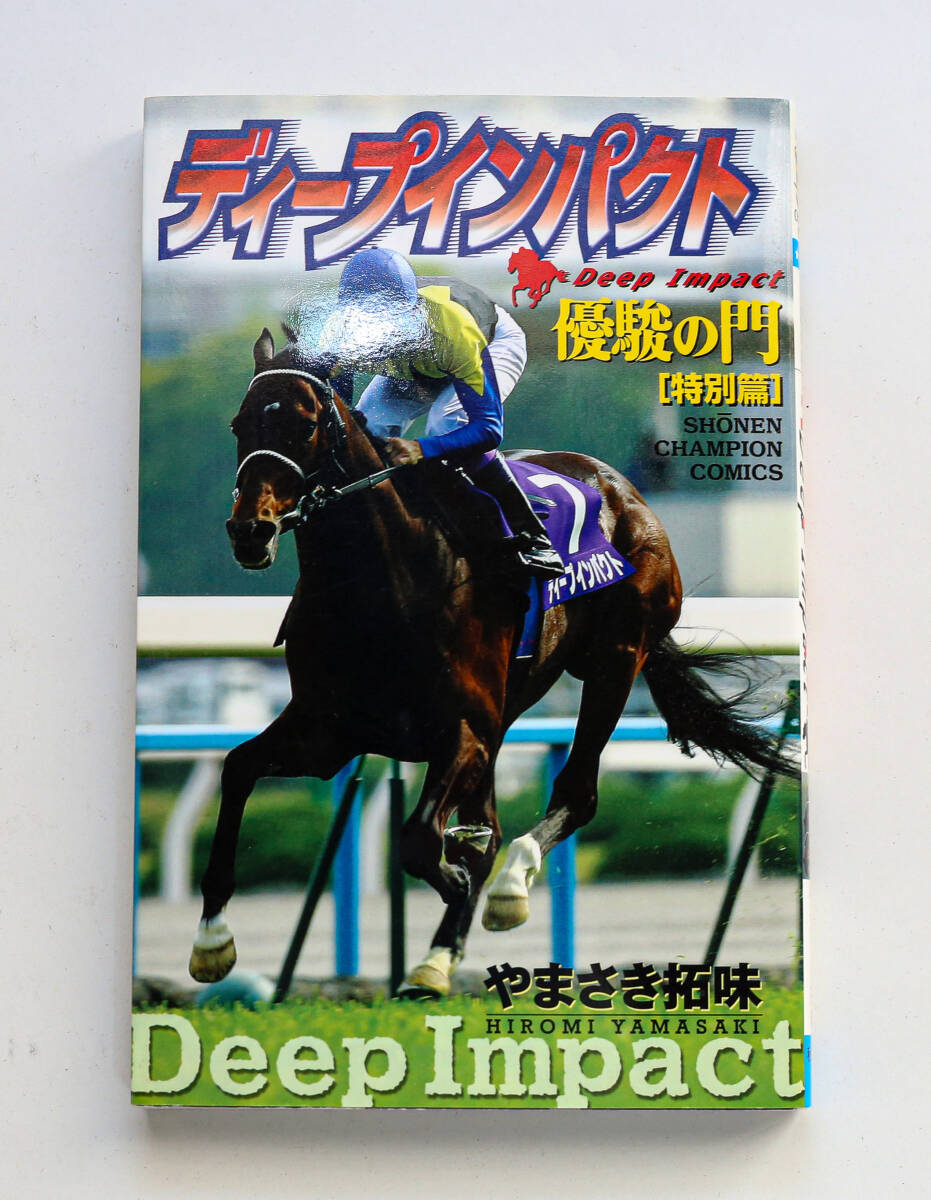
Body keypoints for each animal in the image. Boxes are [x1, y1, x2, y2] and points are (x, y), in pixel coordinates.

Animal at [188, 326, 796, 996]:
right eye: (240, 423)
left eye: (304, 425)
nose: (250, 531)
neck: (383, 584)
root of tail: (624, 490)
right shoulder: (330, 733)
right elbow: (238, 769)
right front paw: (212, 941)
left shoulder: (463, 730)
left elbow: (421, 839)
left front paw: (459, 878)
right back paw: (438, 951)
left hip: (614, 660)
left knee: (575, 794)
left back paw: (507, 885)